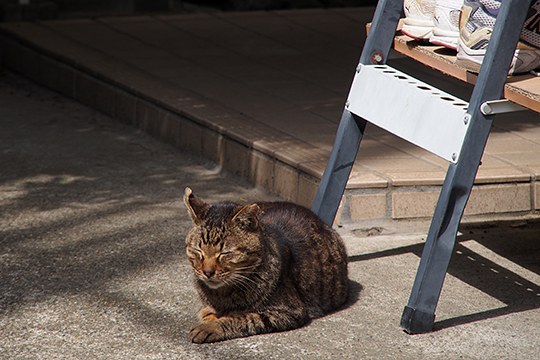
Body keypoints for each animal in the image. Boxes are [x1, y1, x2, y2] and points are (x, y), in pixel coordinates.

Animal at [184, 188, 348, 344]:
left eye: (225, 253)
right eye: (198, 250)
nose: (207, 272)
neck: (221, 294)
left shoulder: (288, 311)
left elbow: (243, 318)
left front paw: (212, 327)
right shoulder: (206, 308)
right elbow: (208, 313)